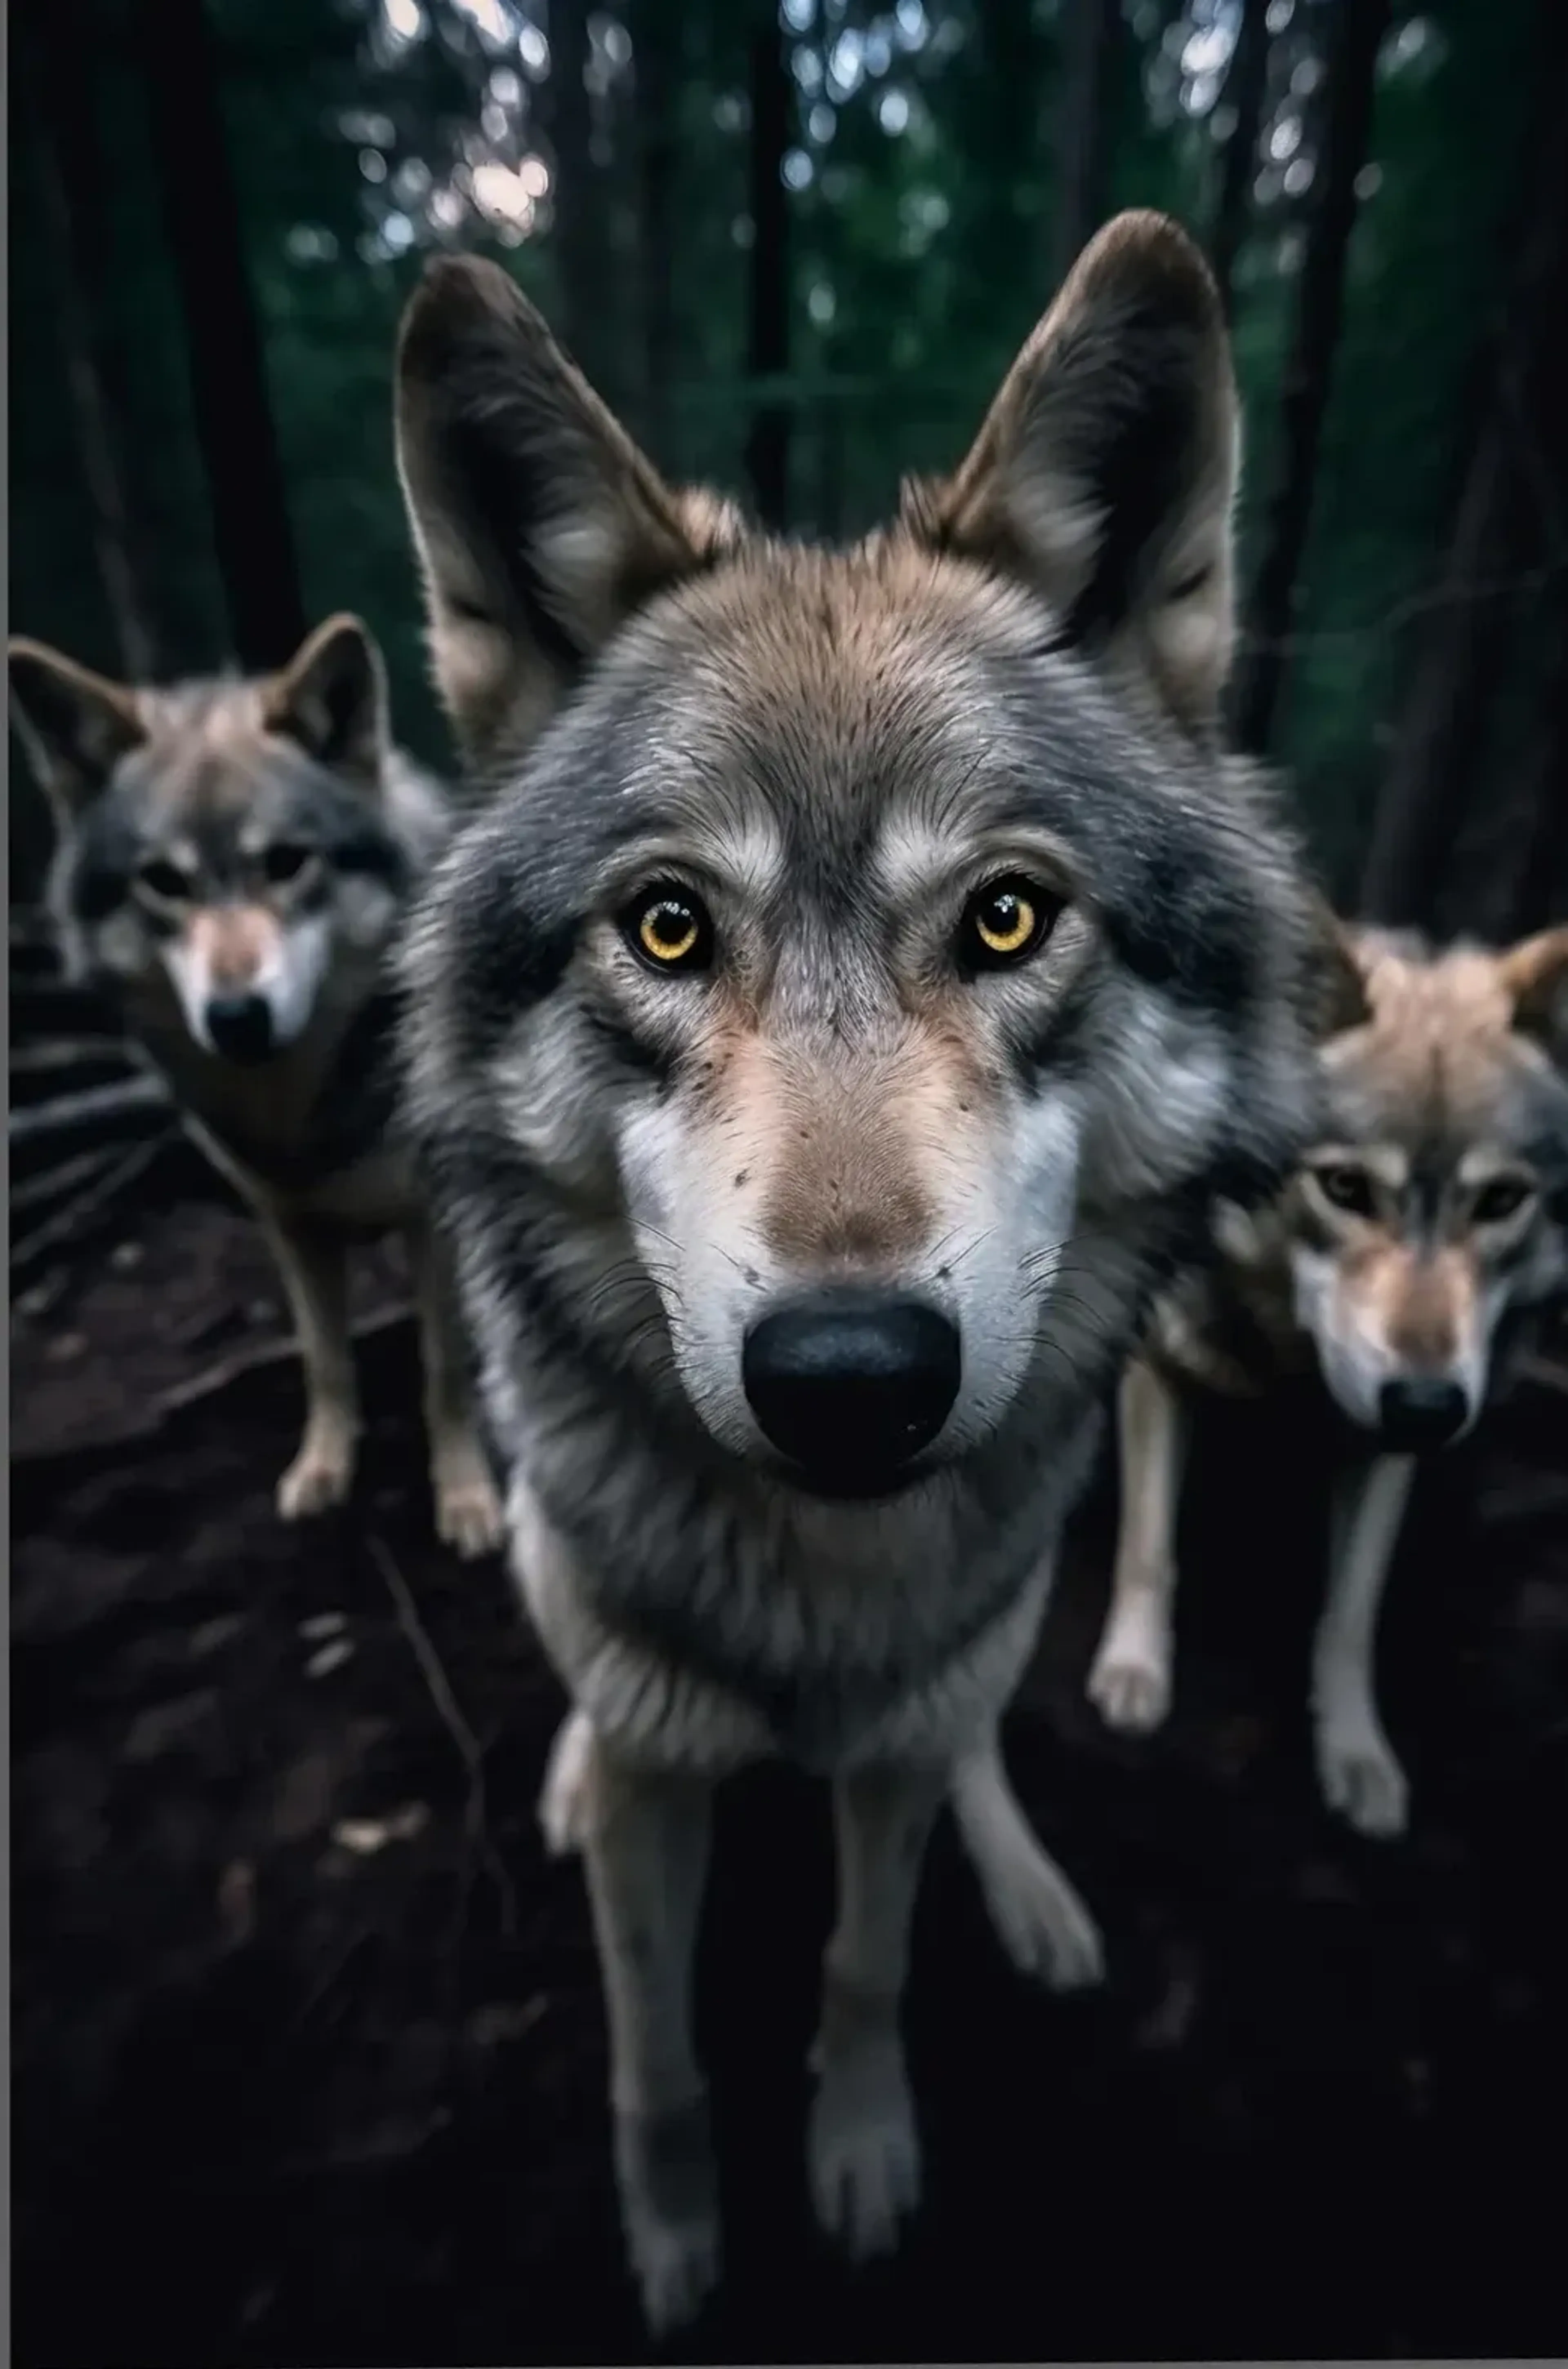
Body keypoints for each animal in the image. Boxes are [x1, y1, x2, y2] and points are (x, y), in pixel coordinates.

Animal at [8, 616, 503, 1555]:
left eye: (286, 863)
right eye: (164, 882)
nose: (239, 1015)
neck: (293, 1110)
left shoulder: (434, 1221)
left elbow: (445, 1366)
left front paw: (466, 1499)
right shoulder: (287, 1219)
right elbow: (324, 1358)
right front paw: (323, 1468)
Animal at [391, 210, 1330, 2329]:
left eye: (1008, 918)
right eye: (666, 927)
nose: (846, 1376)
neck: (815, 1606)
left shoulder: (893, 1742)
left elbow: (866, 1958)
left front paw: (862, 2157)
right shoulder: (662, 1790)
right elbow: (656, 2049)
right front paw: (674, 2246)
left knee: (973, 1728)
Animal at [1089, 920, 1568, 1838]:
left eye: (1499, 1201)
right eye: (1346, 1187)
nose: (1427, 1407)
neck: (1285, 1355)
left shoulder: (1383, 1447)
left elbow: (1350, 1615)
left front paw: (1355, 1753)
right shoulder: (1156, 1370)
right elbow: (1146, 1547)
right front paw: (1134, 1674)